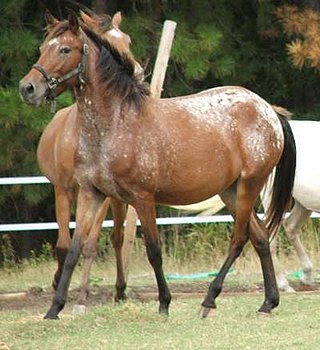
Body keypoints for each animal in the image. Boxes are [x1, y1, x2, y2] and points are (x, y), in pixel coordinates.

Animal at [19, 12, 296, 318]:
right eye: (43, 48)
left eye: (65, 50)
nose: (27, 88)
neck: (115, 124)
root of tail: (268, 109)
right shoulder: (92, 194)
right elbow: (74, 250)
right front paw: (54, 308)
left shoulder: (143, 198)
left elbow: (153, 251)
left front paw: (164, 302)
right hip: (231, 191)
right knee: (260, 237)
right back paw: (268, 302)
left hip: (249, 185)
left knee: (239, 239)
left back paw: (209, 299)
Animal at [175, 120, 320, 292]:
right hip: (273, 197)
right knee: (273, 235)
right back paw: (285, 284)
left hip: (303, 203)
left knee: (291, 226)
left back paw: (307, 276)